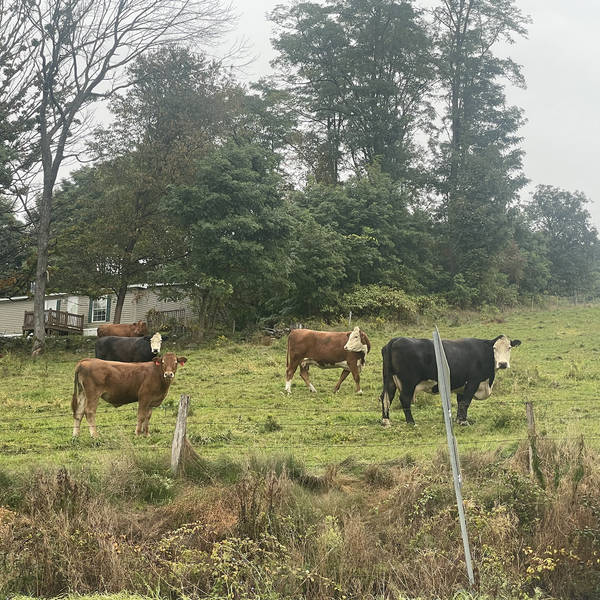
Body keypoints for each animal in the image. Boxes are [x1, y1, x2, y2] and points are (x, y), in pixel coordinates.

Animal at [382, 332, 524, 426]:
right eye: (494, 348)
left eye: (509, 348)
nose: (503, 364)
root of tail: (395, 340)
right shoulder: (473, 381)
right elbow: (466, 402)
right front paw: (463, 422)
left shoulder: (462, 386)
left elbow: (461, 402)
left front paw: (459, 420)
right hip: (408, 382)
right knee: (404, 399)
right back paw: (411, 422)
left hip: (390, 380)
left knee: (386, 397)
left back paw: (386, 421)